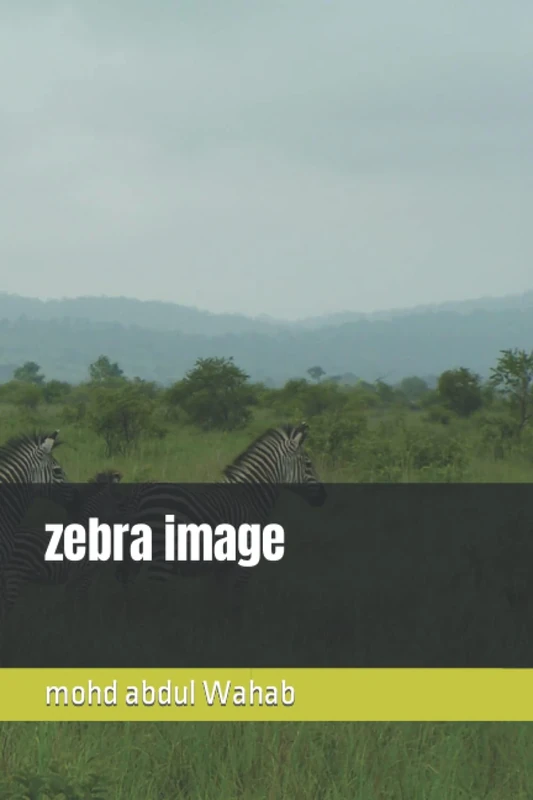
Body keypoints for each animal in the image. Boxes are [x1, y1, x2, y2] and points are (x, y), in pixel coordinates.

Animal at [0, 469, 124, 619]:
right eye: (120, 504)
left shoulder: (77, 577)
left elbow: (71, 601)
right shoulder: (85, 573)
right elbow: (81, 600)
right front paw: (82, 620)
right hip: (15, 576)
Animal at [114, 421, 326, 612]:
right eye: (308, 464)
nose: (324, 496)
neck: (249, 497)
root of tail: (140, 492)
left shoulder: (222, 566)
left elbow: (217, 600)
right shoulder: (246, 561)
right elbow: (236, 602)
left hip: (131, 559)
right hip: (160, 559)